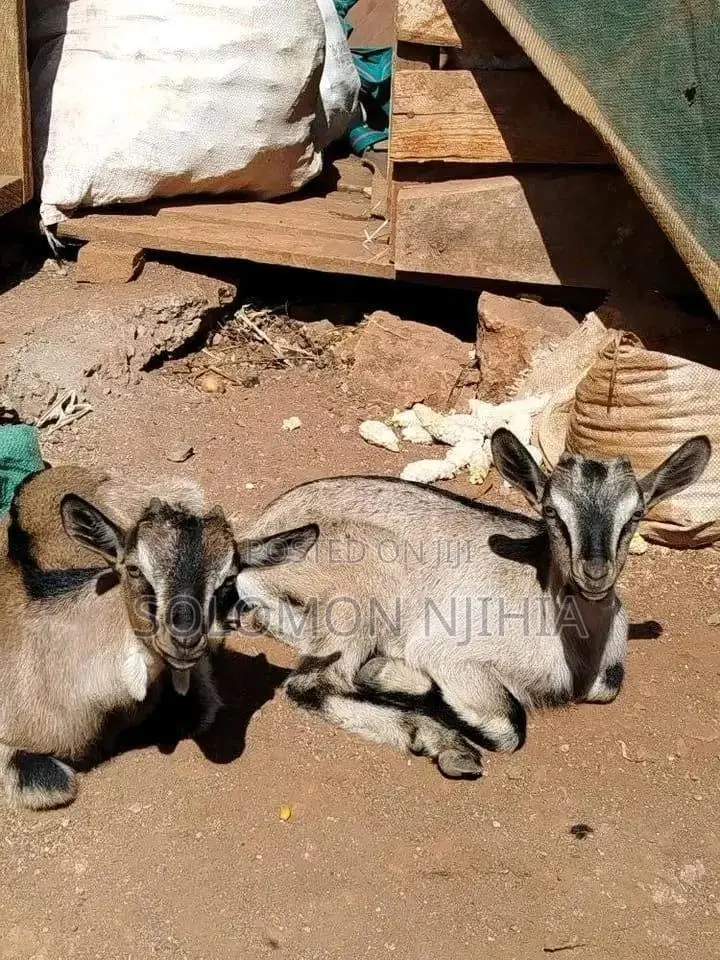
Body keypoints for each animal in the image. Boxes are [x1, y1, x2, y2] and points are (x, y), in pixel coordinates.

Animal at [236, 431, 711, 778]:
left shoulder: (604, 679)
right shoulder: (448, 650)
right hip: (366, 584)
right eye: (551, 512)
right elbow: (510, 724)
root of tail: (259, 532)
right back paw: (437, 738)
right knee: (310, 683)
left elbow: (604, 689)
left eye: (635, 515)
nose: (594, 573)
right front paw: (398, 682)